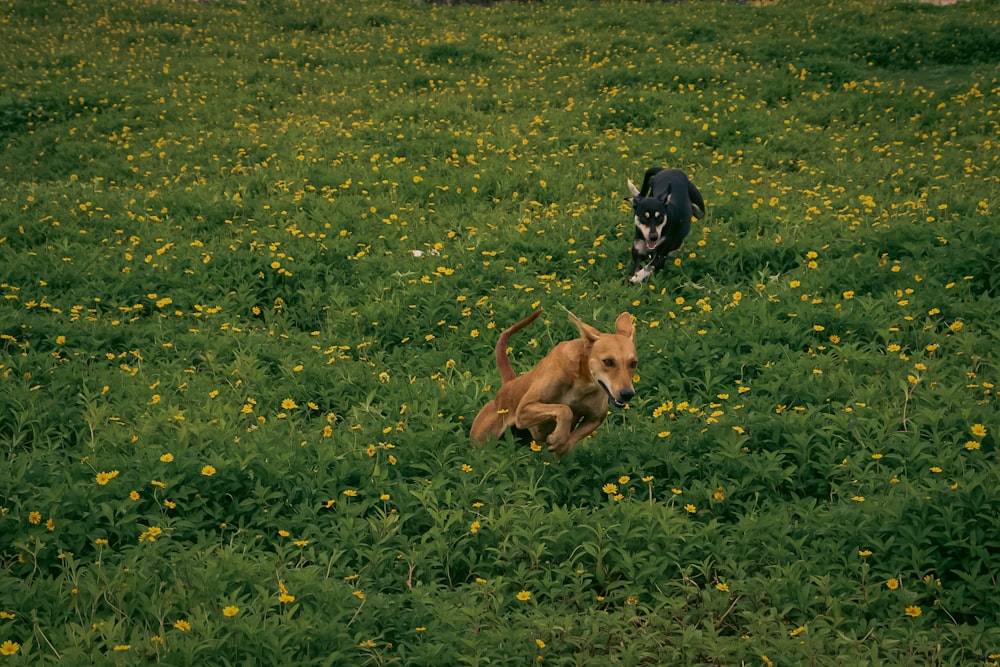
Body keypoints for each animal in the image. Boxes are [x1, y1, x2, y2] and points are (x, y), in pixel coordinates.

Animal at [470, 310, 640, 456]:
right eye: (608, 361)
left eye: (633, 363)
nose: (627, 394)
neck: (582, 381)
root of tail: (508, 384)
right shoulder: (524, 410)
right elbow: (565, 409)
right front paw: (559, 437)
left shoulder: (596, 418)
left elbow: (571, 436)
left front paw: (560, 442)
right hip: (482, 440)